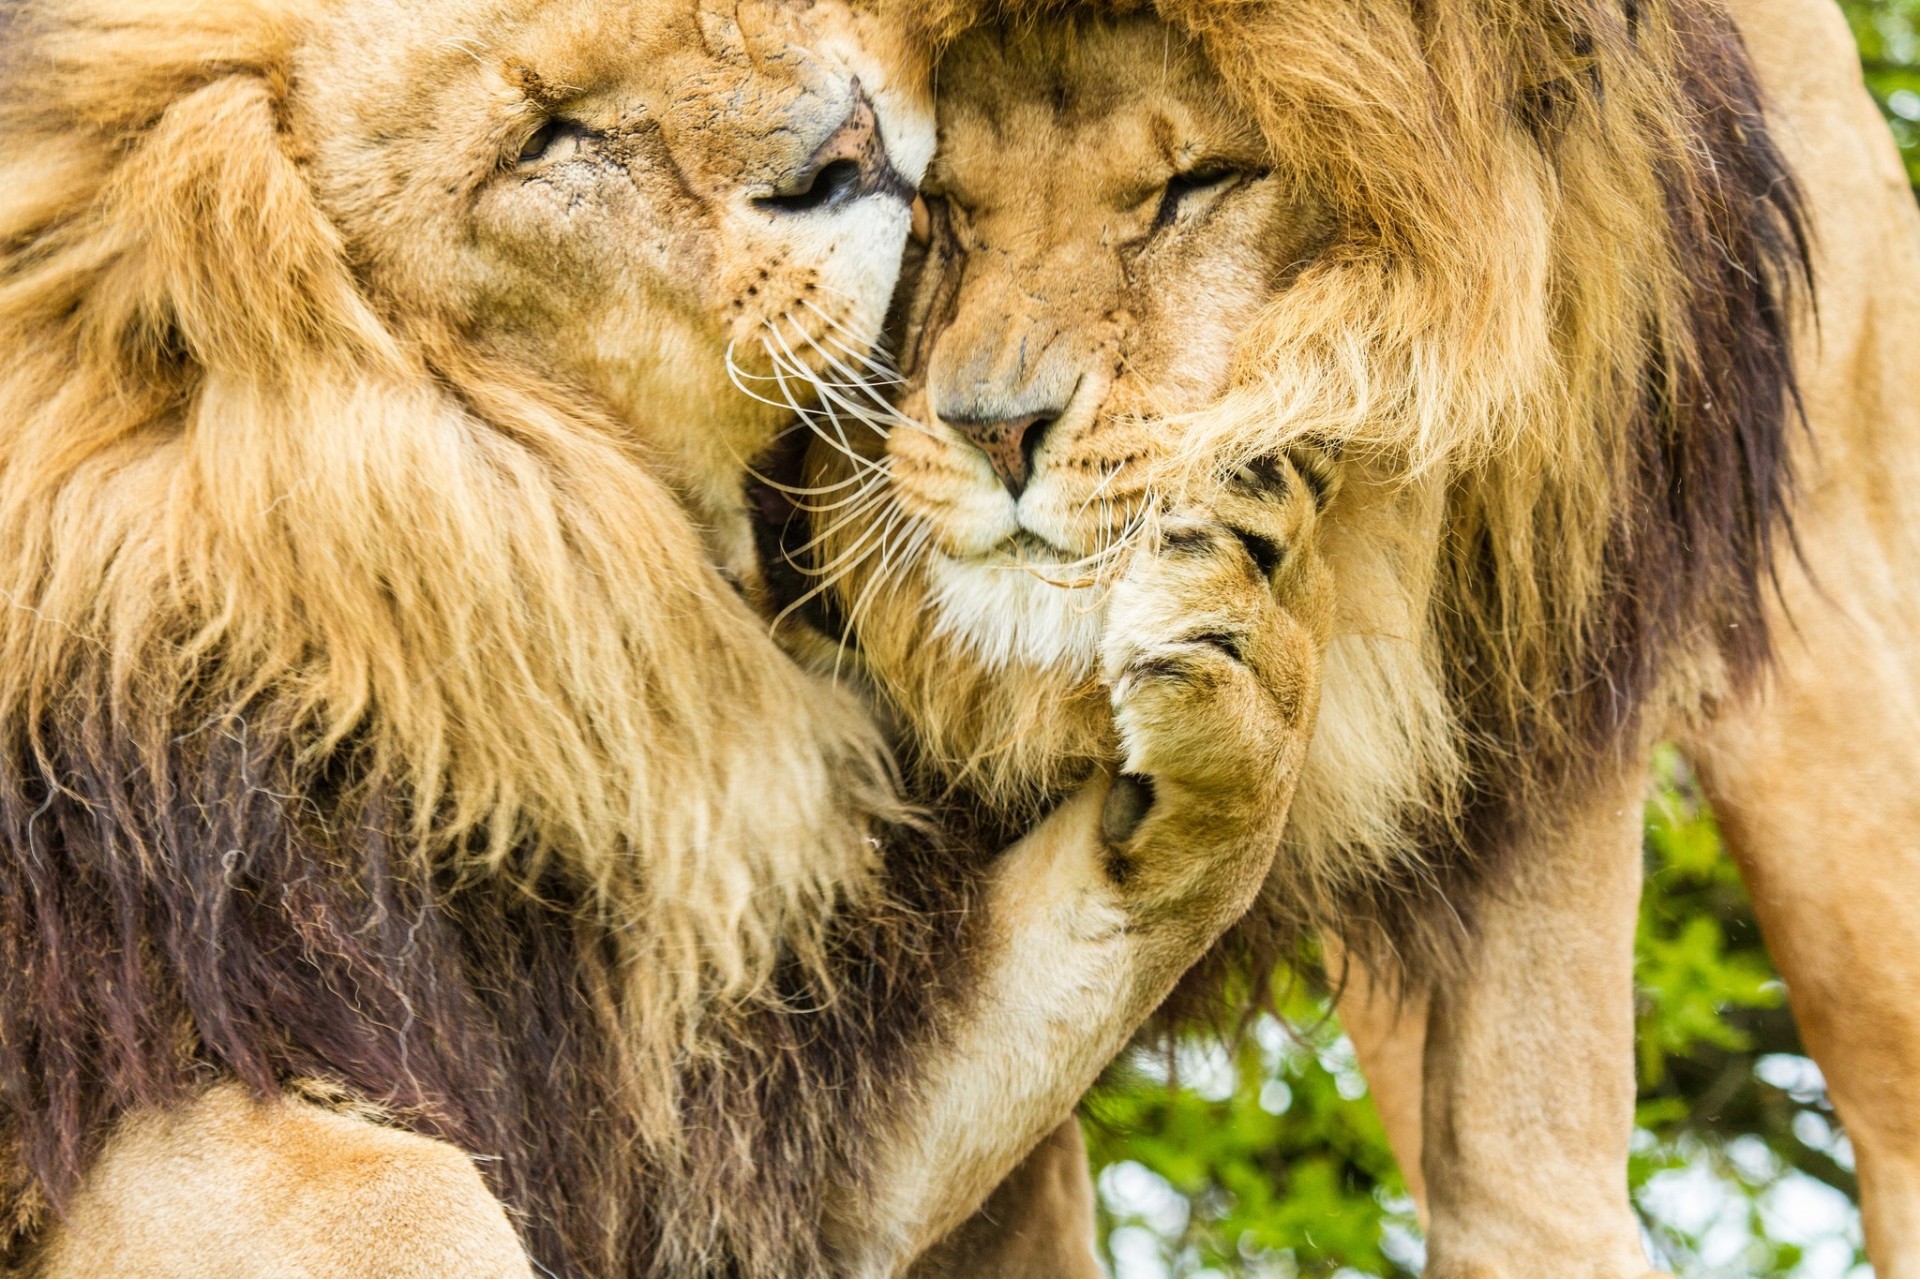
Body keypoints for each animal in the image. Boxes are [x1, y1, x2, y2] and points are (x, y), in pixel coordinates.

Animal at [0, 0, 1339, 1275]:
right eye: (546, 139)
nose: (849, 150)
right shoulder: (157, 1058)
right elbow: (393, 1200)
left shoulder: (747, 1096)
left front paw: (1248, 626)